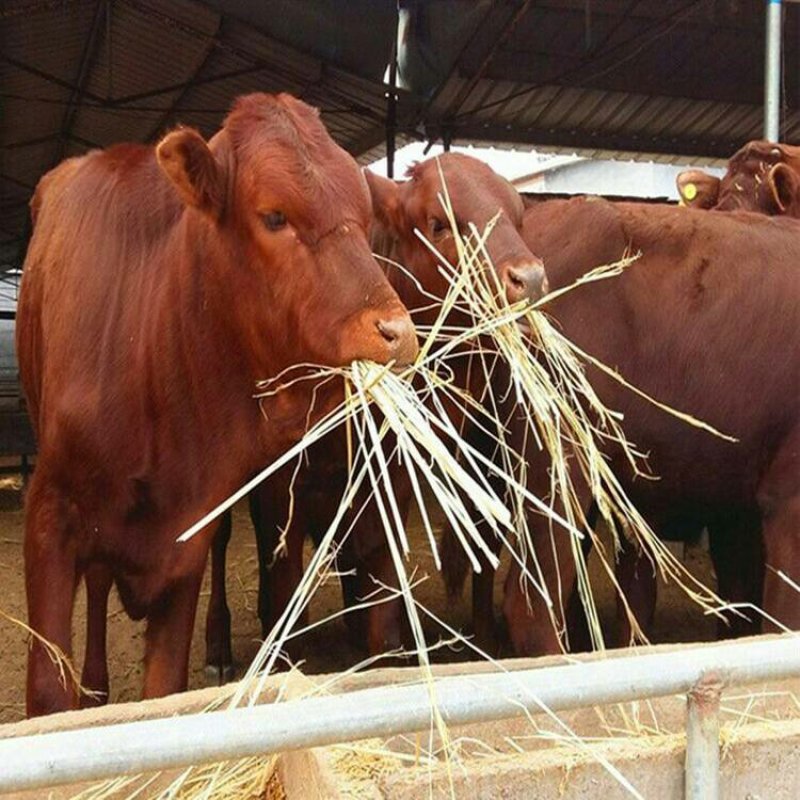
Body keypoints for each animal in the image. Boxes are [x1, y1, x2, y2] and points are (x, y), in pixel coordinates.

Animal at [18, 94, 418, 720]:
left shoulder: (188, 536)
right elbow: (48, 695)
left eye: (362, 213)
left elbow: (163, 689)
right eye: (274, 216)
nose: (396, 334)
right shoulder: (49, 520)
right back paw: (99, 688)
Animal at [203, 155, 548, 668]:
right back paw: (220, 640)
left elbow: (379, 591)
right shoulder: (284, 485)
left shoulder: (390, 484)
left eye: (518, 215)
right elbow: (283, 571)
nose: (529, 279)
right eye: (438, 223)